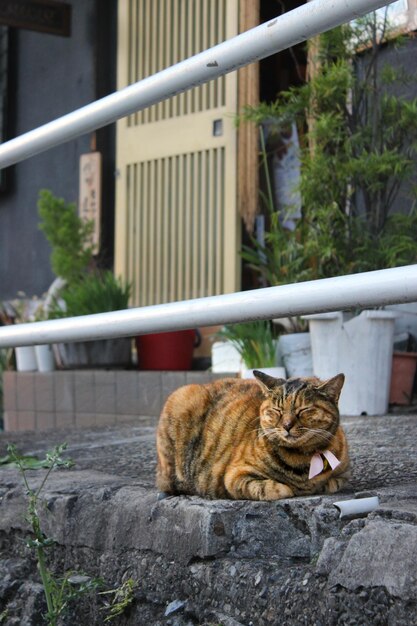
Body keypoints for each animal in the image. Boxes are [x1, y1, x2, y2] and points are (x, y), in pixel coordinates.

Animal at [155, 370, 348, 498]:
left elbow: (335, 482)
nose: (286, 426)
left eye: (304, 410)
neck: (304, 459)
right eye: (277, 410)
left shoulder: (343, 474)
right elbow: (276, 489)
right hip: (184, 396)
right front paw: (291, 489)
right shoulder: (235, 475)